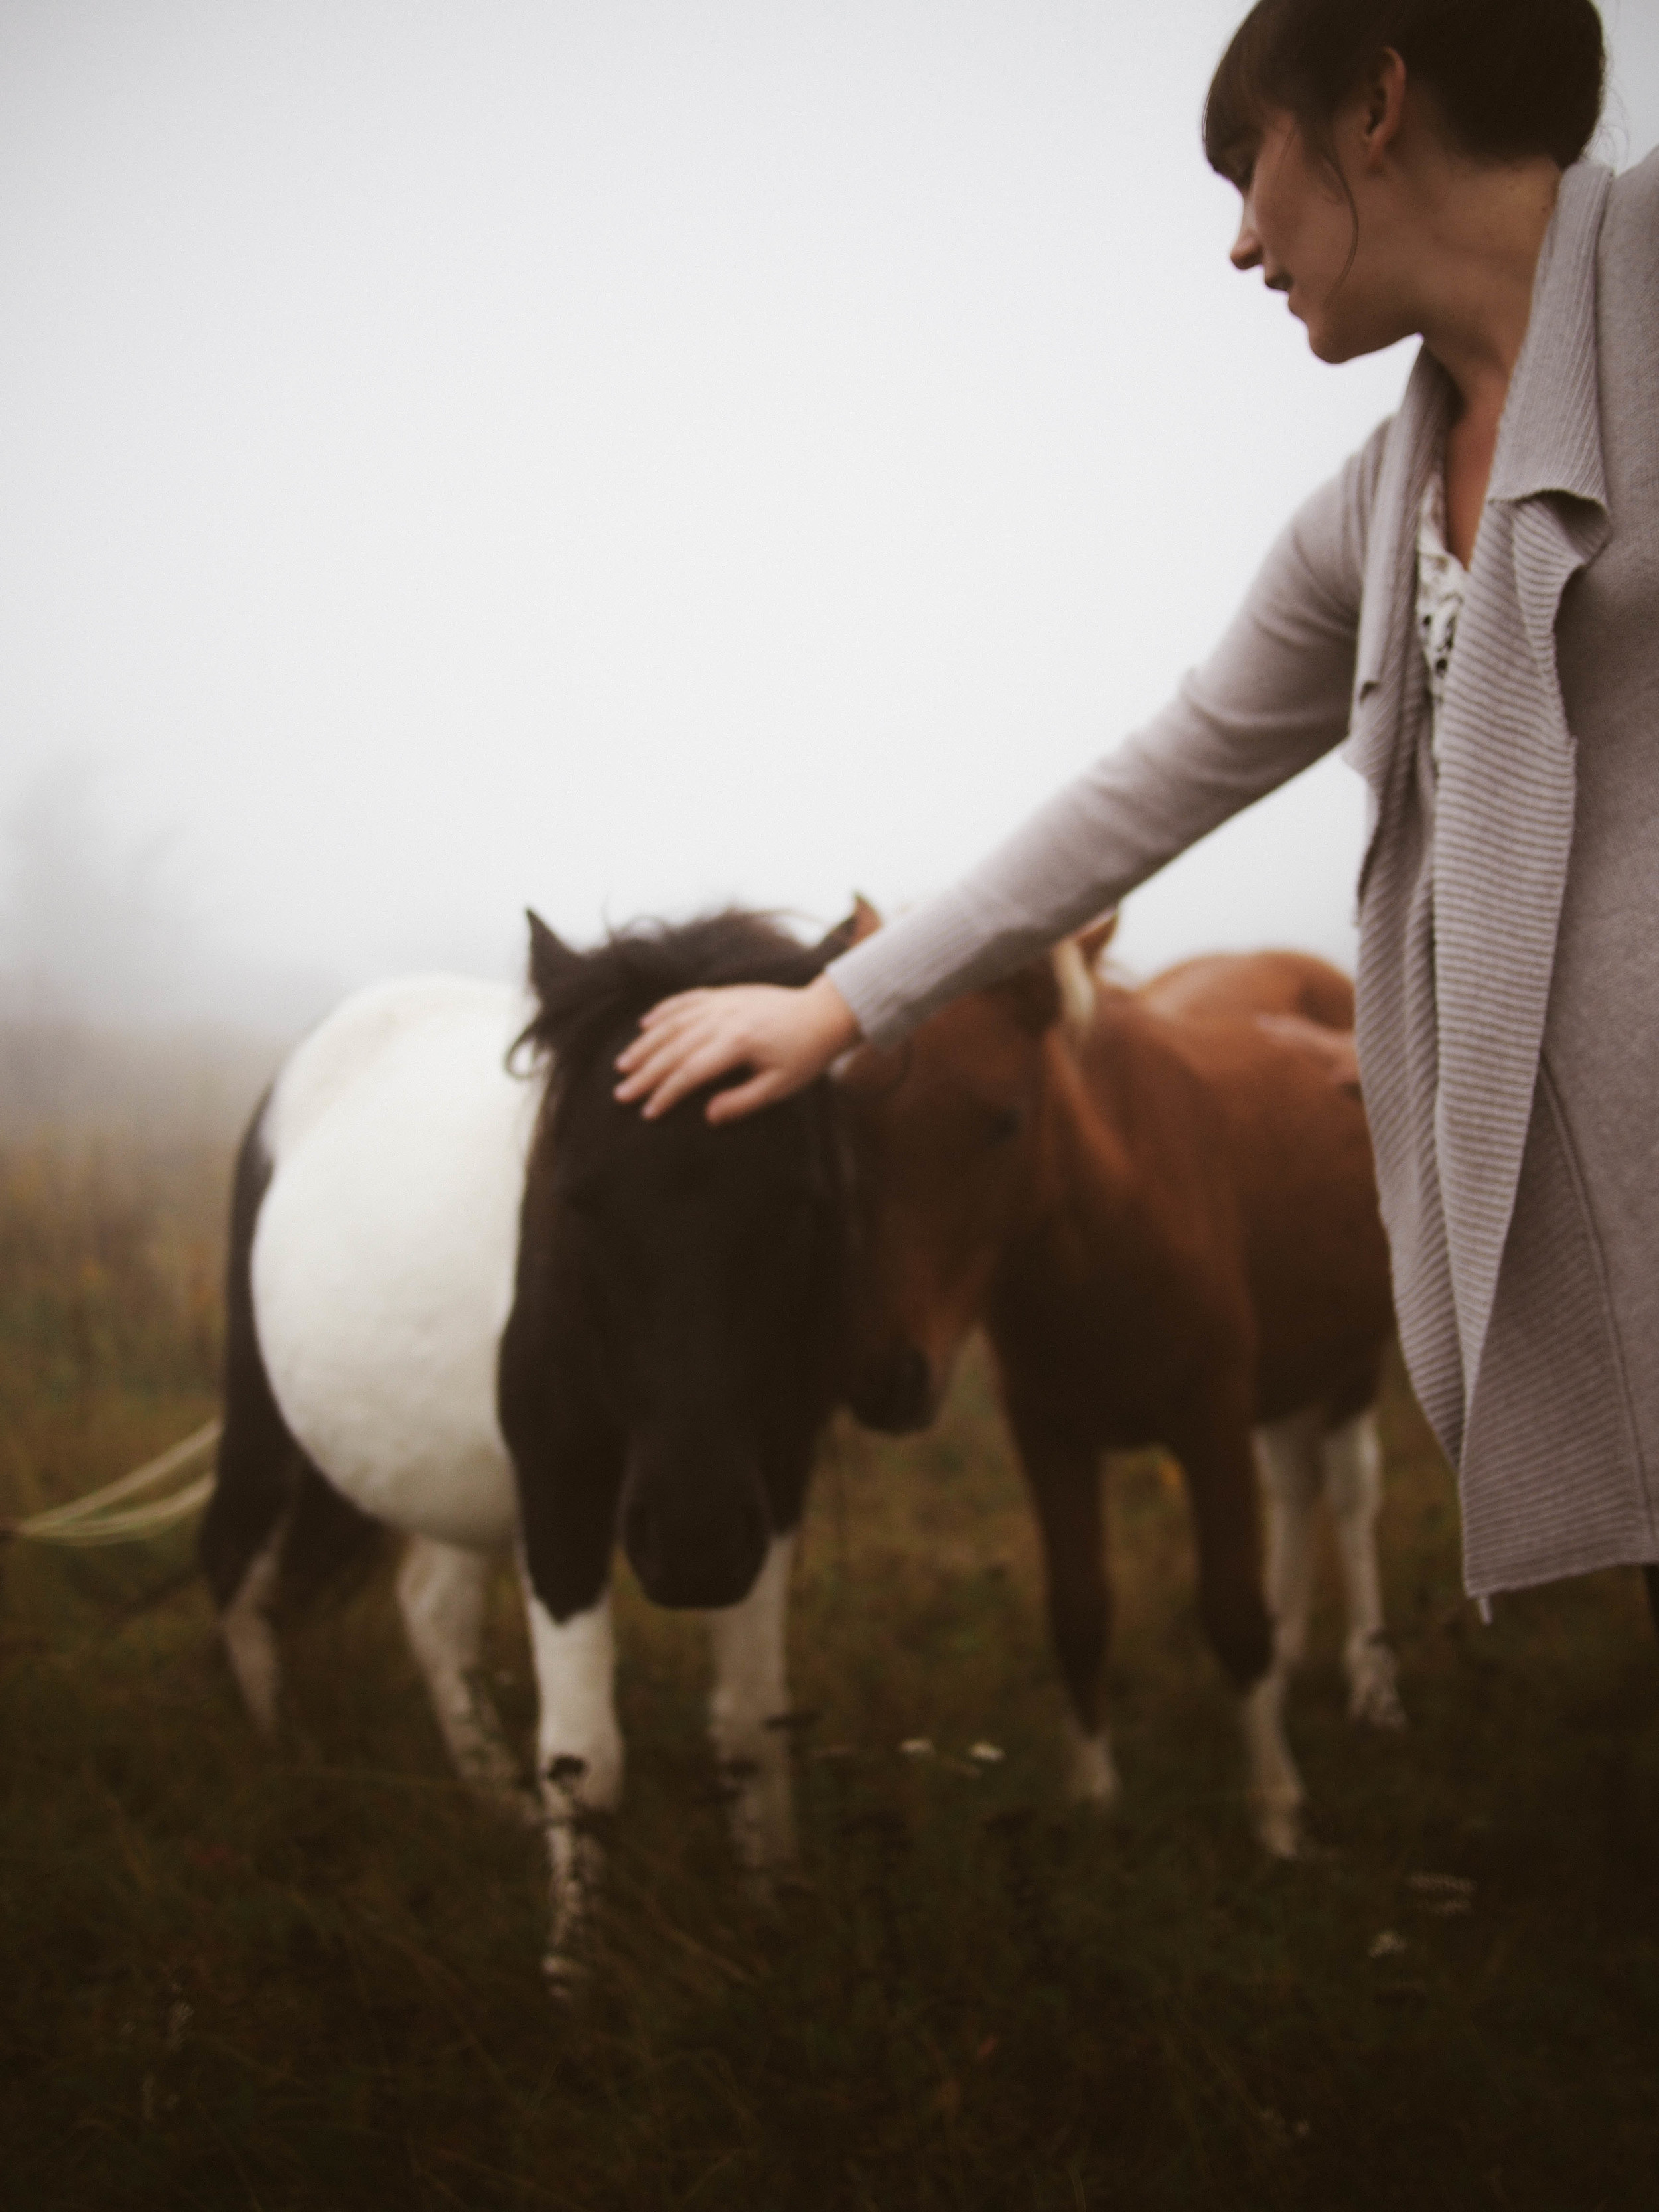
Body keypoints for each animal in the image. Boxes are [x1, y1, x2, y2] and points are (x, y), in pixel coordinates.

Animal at [203, 907, 858, 1982]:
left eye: (803, 1198)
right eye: (579, 1198)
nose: (691, 1544)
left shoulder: (773, 1478)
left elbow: (752, 1718)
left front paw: (773, 1917)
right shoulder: (561, 1489)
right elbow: (587, 1756)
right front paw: (574, 1981)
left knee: (429, 1612)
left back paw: (494, 1805)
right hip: (264, 1409)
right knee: (234, 1566)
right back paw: (284, 1762)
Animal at [845, 924, 1407, 1858]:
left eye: (1004, 1121)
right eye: (850, 1120)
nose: (886, 1379)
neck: (1113, 1225)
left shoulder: (1211, 1423)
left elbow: (1230, 1612)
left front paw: (1275, 1813)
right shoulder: (1048, 1437)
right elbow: (1078, 1611)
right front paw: (1094, 1796)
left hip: (1354, 1356)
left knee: (1353, 1492)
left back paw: (1372, 1684)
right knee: (1297, 1485)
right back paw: (1292, 1655)